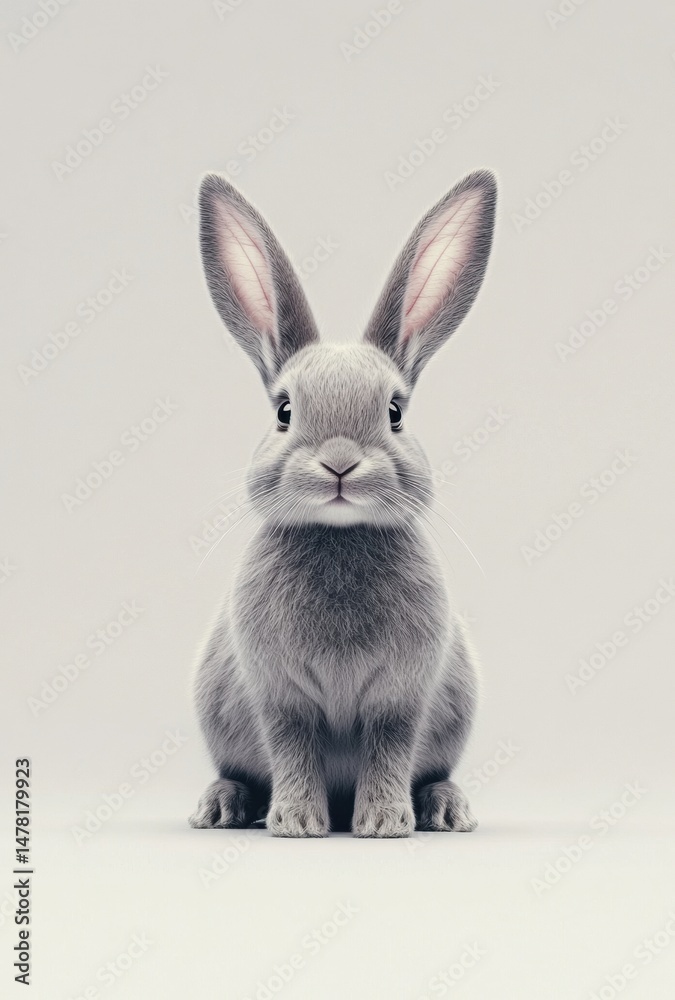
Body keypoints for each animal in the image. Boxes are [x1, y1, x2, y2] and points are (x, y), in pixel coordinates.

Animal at [189, 168, 497, 837]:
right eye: (283, 412)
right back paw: (222, 806)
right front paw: (297, 824)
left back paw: (445, 809)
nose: (339, 463)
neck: (339, 533)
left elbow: (390, 746)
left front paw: (383, 824)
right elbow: (292, 745)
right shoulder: (280, 695)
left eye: (395, 413)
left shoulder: (400, 696)